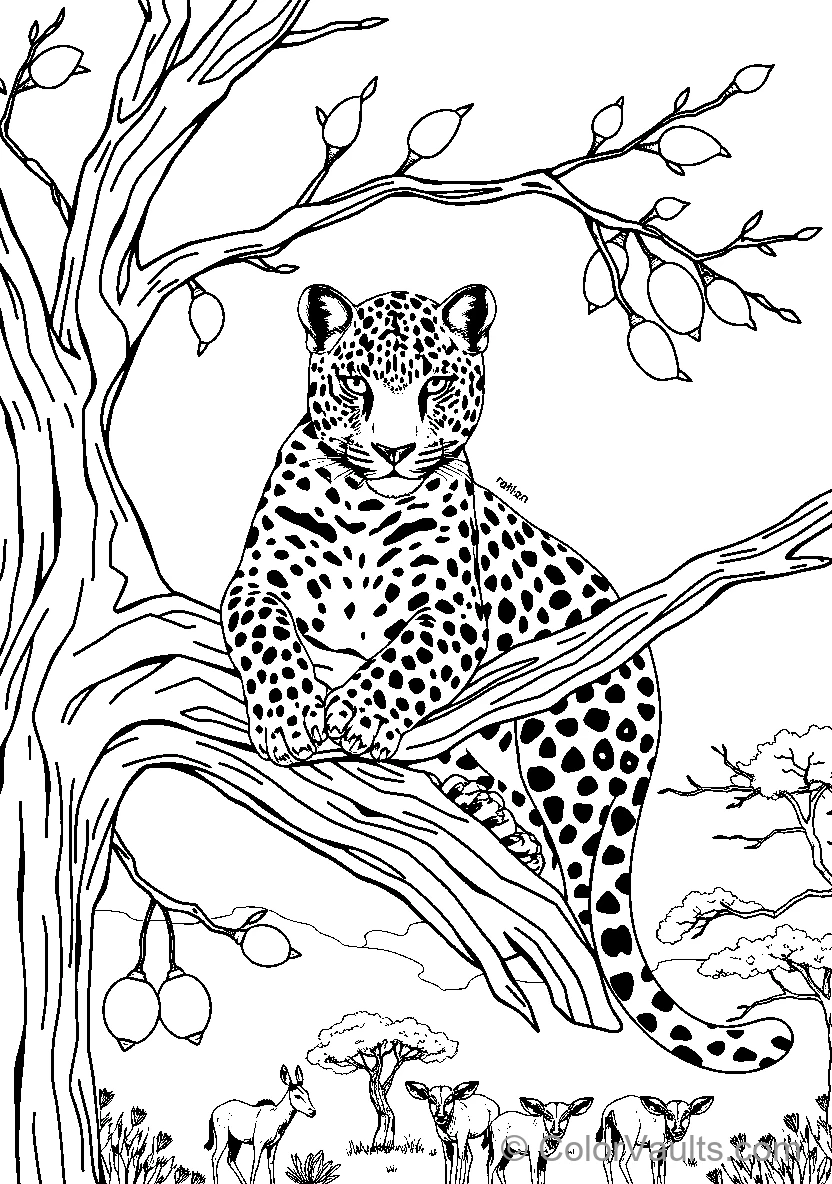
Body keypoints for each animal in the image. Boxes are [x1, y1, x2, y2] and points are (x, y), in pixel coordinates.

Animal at [221, 282, 793, 1074]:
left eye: (434, 385)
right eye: (358, 385)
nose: (393, 451)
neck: (367, 506)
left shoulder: (452, 615)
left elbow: (403, 659)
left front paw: (354, 718)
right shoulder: (253, 584)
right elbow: (267, 633)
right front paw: (286, 715)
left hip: (570, 762)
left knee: (575, 885)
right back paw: (487, 811)